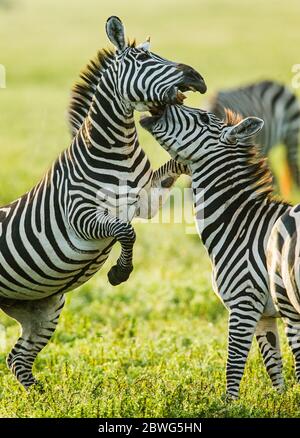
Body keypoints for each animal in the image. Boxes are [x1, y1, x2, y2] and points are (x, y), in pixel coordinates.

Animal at [0, 15, 206, 388]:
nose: (197, 77)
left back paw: (46, 396)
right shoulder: (79, 214)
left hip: (42, 308)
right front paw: (119, 273)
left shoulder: (146, 200)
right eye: (143, 59)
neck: (116, 148)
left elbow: (169, 172)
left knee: (18, 359)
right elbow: (125, 232)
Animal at [141, 104, 298, 398]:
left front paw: (228, 404)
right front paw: (283, 401)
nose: (160, 106)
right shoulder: (264, 315)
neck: (239, 224)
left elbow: (233, 364)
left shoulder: (243, 302)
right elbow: (274, 367)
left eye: (203, 118)